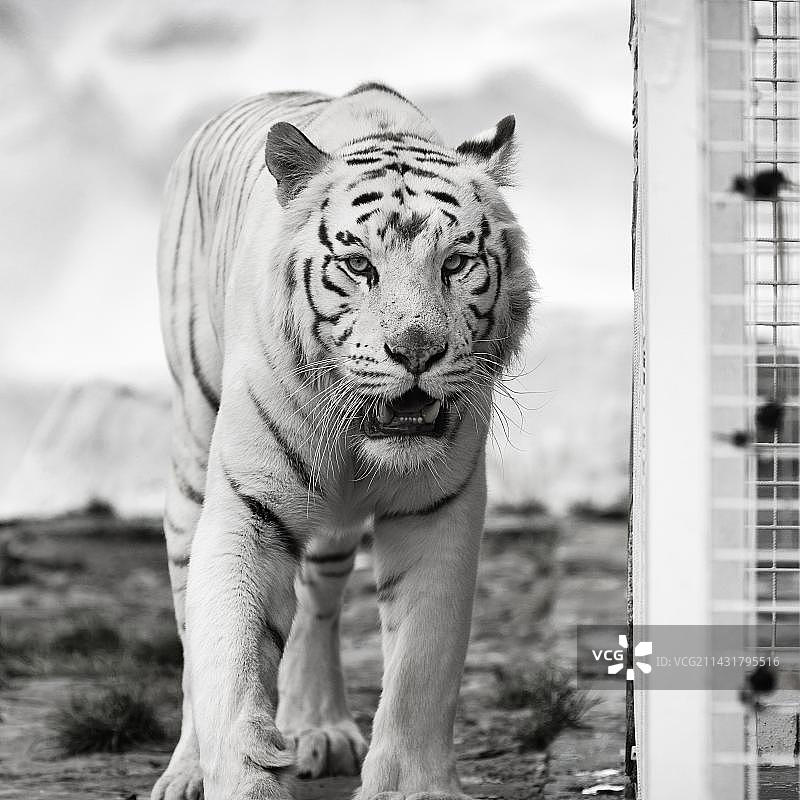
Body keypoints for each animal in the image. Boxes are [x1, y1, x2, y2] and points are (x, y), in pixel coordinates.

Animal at [152, 82, 533, 800]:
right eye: (359, 265)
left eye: (456, 263)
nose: (416, 349)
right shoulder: (248, 507)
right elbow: (228, 657)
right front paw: (240, 777)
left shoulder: (437, 511)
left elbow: (421, 666)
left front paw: (411, 788)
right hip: (190, 454)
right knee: (191, 630)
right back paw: (186, 770)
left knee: (315, 604)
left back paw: (318, 728)